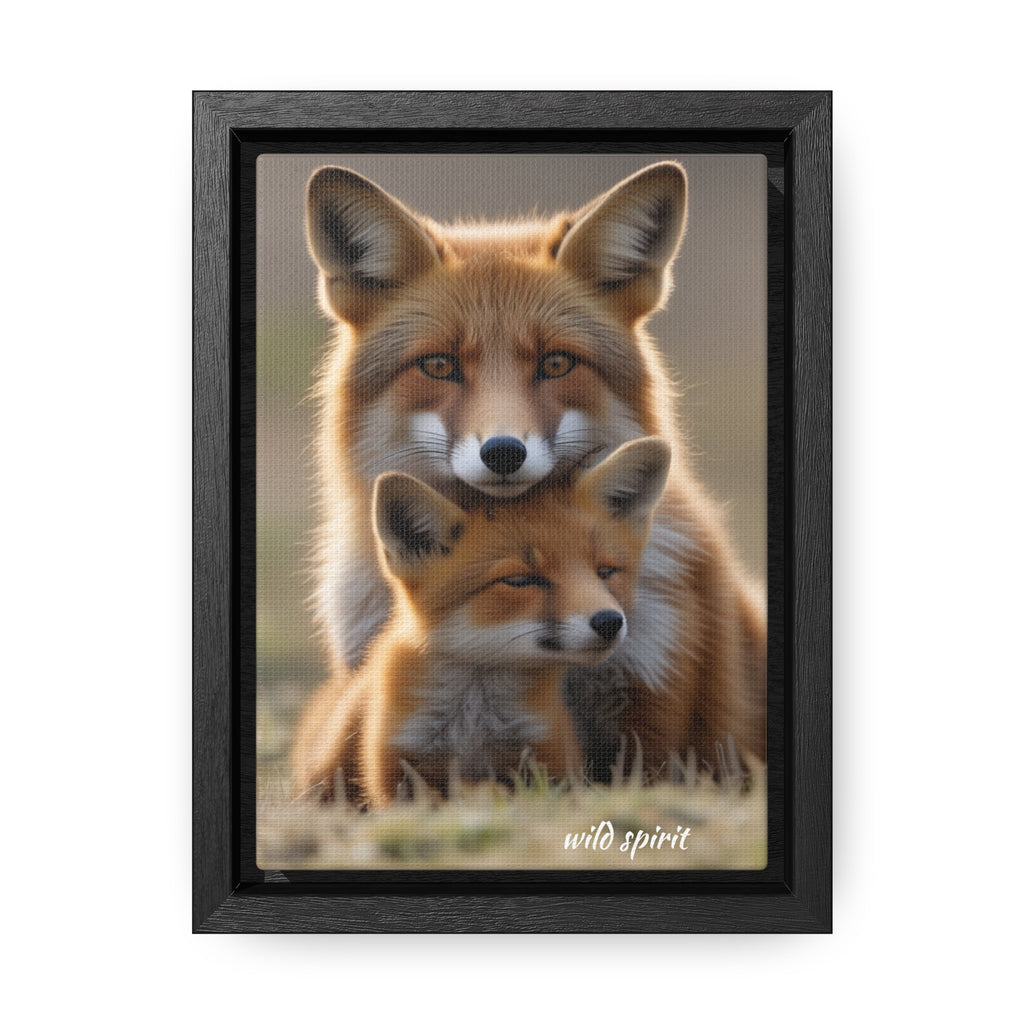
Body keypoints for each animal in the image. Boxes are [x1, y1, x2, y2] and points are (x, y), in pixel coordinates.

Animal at [293, 438, 671, 807]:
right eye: (520, 580)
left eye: (605, 572)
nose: (609, 621)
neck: (474, 723)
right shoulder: (399, 770)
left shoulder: (549, 762)